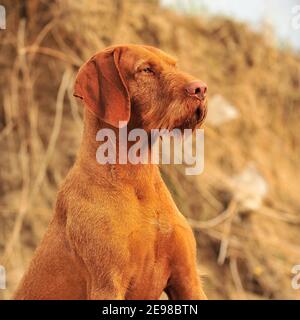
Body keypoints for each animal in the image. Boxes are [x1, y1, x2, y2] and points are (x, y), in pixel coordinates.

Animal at [14, 43, 206, 298]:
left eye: (174, 65)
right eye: (146, 69)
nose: (201, 88)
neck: (137, 180)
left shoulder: (188, 279)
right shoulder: (108, 284)